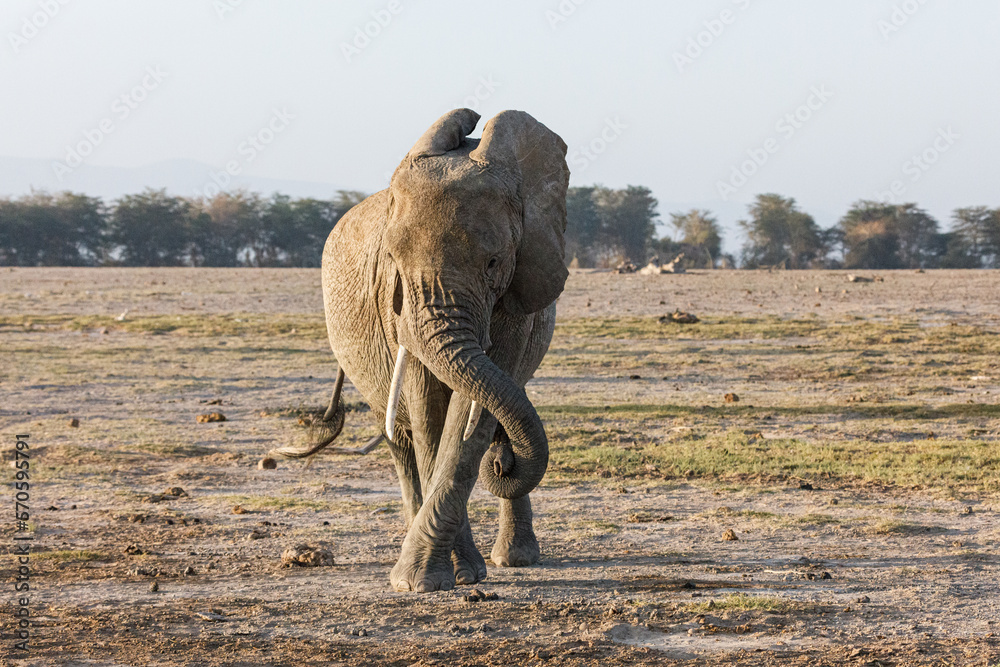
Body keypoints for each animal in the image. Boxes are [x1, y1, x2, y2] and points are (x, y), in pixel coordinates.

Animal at [289, 108, 570, 593]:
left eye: (493, 262)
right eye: (391, 260)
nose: (506, 465)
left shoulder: (517, 294)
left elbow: (471, 418)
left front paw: (434, 577)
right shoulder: (398, 310)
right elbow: (429, 414)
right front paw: (434, 579)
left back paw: (515, 558)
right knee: (402, 441)